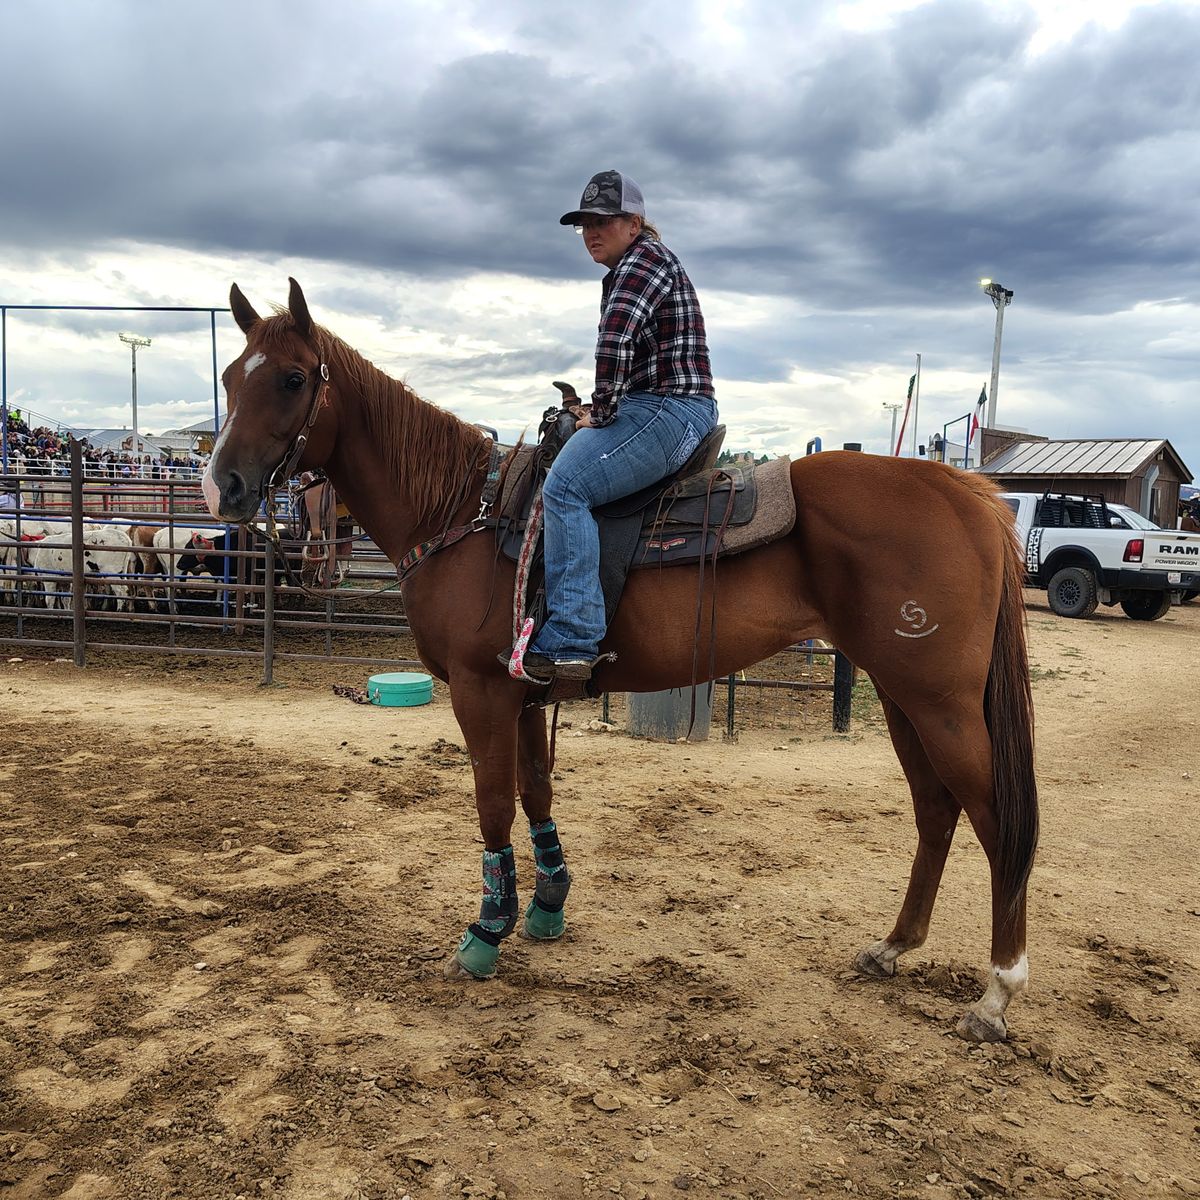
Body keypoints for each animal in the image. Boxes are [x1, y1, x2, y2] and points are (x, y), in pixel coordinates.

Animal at [203, 278, 1038, 1043]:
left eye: (292, 378)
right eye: (230, 377)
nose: (224, 487)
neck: (464, 515)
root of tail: (968, 489)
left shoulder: (481, 694)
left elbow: (493, 805)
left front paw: (485, 934)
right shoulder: (525, 693)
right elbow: (537, 794)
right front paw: (547, 906)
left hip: (939, 702)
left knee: (996, 820)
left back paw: (998, 993)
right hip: (902, 695)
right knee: (936, 811)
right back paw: (894, 946)